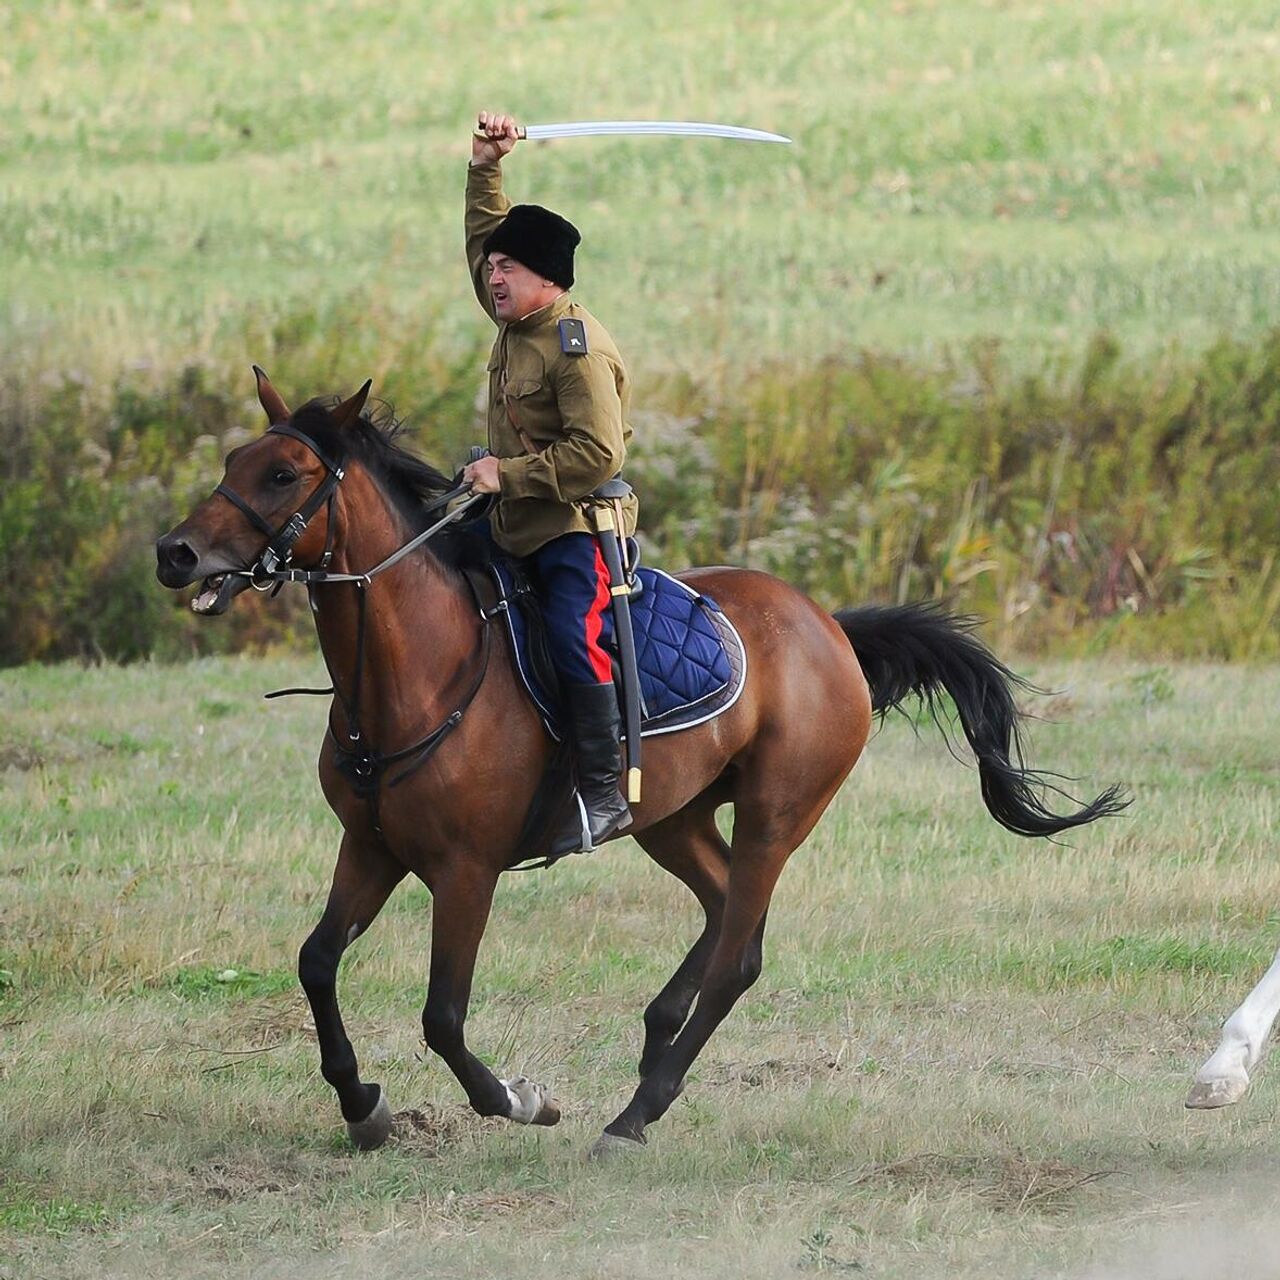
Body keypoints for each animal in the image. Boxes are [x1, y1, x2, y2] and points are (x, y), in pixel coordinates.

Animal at [154, 373, 1126, 1162]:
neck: (417, 670)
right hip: (672, 816)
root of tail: (828, 627)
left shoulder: (466, 871)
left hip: (777, 814)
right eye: (236, 459)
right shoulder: (370, 847)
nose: (176, 554)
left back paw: (635, 1113)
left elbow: (443, 1015)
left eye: (286, 474)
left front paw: (521, 1099)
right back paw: (657, 1044)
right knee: (723, 906)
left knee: (738, 955)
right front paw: (363, 1108)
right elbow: (317, 963)